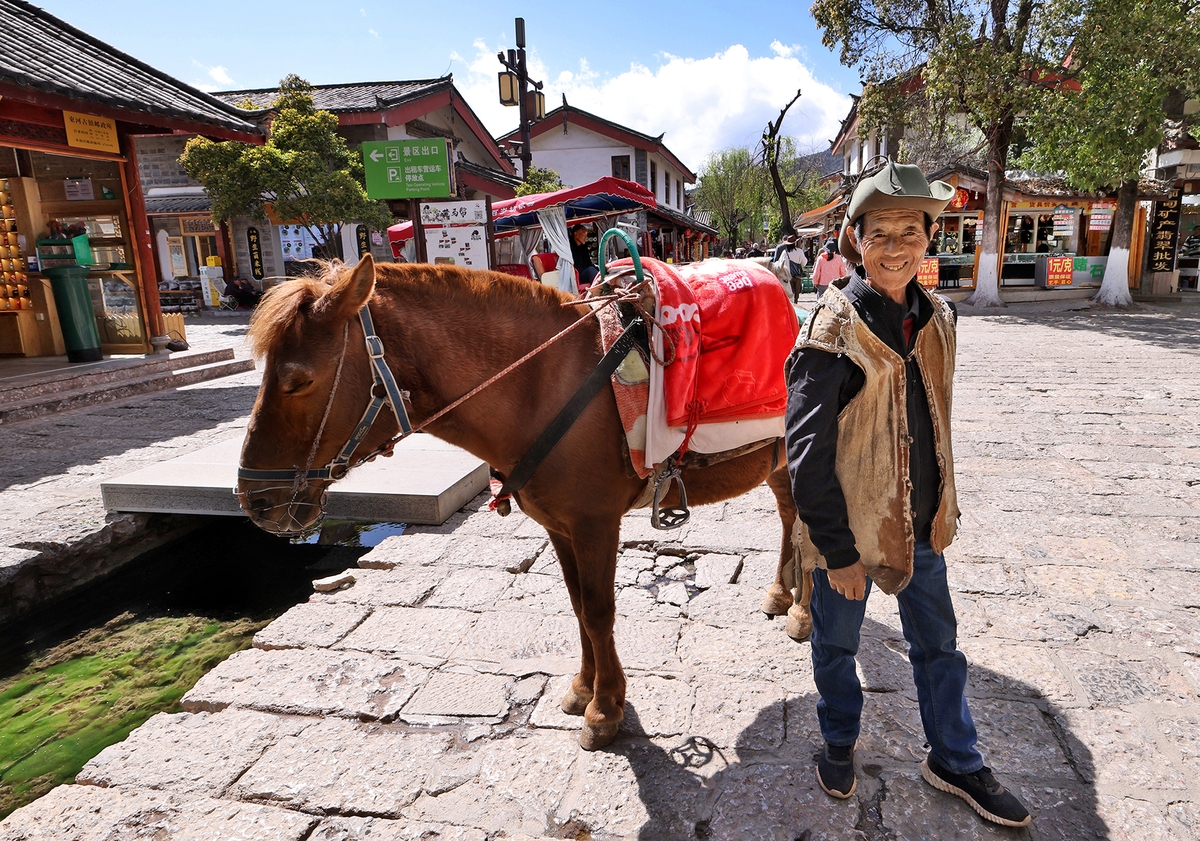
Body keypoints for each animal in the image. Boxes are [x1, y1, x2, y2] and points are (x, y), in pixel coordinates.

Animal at [236, 254, 806, 748]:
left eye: (297, 381)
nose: (253, 501)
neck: (546, 388)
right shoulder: (560, 526)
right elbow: (578, 607)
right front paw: (584, 688)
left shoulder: (596, 525)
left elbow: (599, 611)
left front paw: (605, 709)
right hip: (778, 463)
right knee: (789, 515)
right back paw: (784, 593)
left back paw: (802, 610)